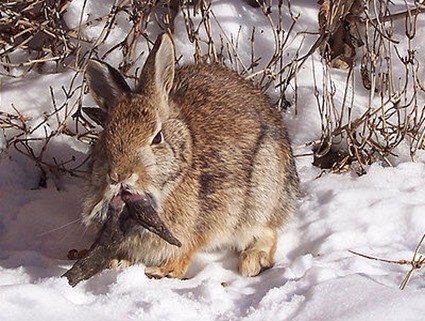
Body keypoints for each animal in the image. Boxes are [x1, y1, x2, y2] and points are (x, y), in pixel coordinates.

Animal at [82, 31, 298, 278]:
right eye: (105, 137)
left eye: (157, 138)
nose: (120, 176)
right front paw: (118, 263)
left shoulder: (196, 230)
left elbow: (183, 255)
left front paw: (159, 271)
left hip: (259, 197)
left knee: (267, 231)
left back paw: (252, 262)